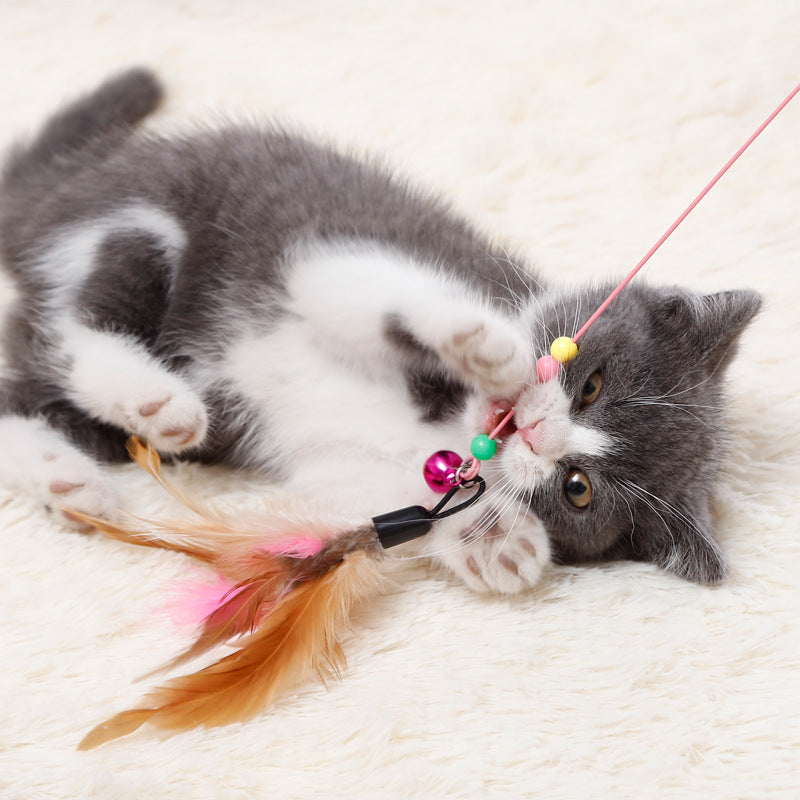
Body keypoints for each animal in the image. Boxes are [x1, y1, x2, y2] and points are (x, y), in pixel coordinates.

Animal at [0, 70, 764, 592]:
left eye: (578, 489)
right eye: (593, 384)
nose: (539, 434)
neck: (448, 425)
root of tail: (72, 180)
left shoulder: (336, 463)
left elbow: (384, 501)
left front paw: (494, 542)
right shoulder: (344, 261)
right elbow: (376, 294)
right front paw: (485, 345)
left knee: (23, 392)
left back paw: (71, 477)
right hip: (138, 223)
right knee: (78, 323)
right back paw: (152, 399)